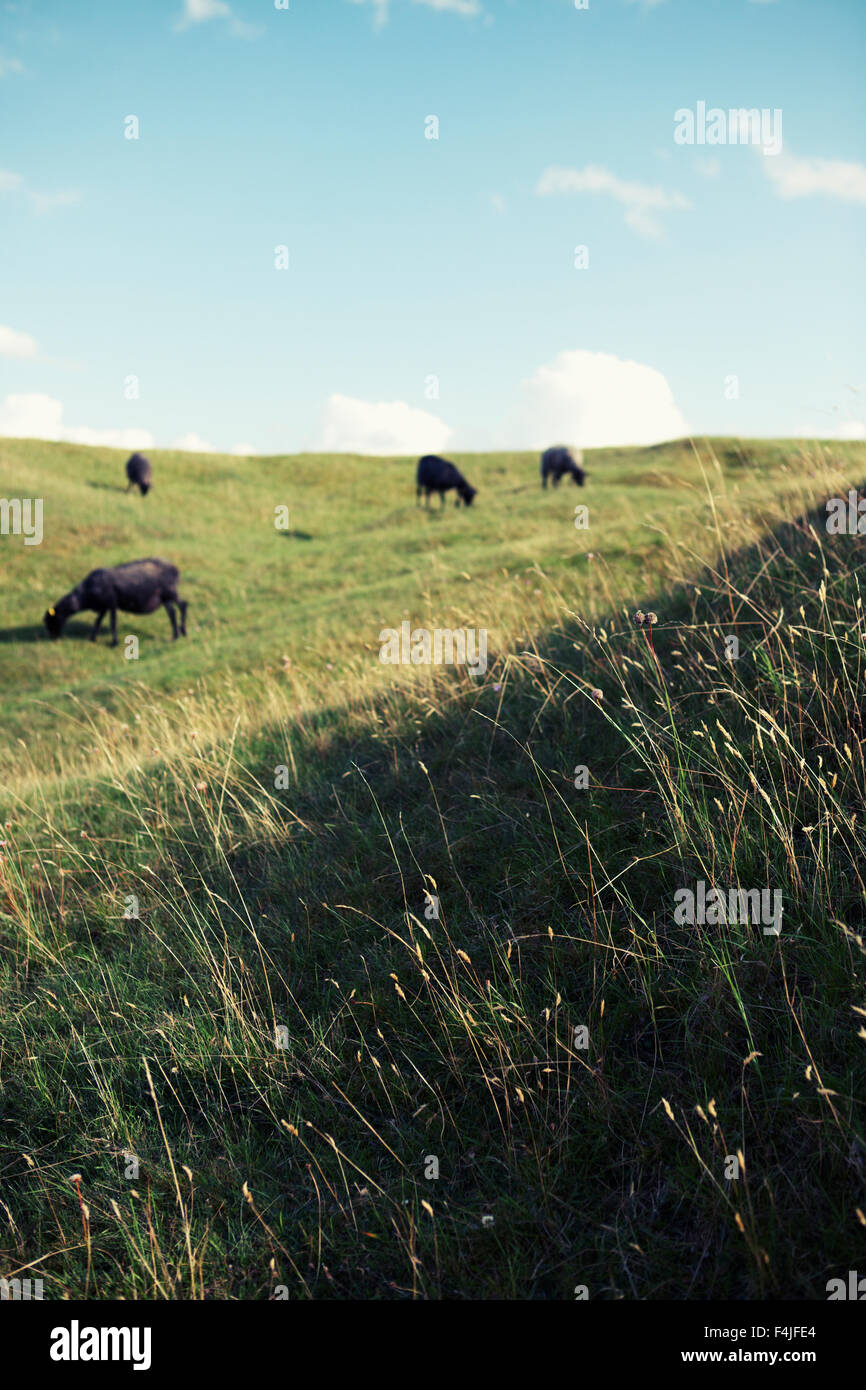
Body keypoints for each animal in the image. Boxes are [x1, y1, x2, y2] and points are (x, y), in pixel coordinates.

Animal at [43, 558, 189, 644]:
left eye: (51, 620)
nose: (53, 638)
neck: (83, 596)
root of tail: (175, 569)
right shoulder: (103, 607)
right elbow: (97, 622)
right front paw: (92, 638)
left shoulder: (111, 603)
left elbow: (112, 622)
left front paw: (114, 643)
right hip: (164, 597)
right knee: (172, 613)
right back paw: (175, 636)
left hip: (170, 592)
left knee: (183, 606)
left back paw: (183, 631)